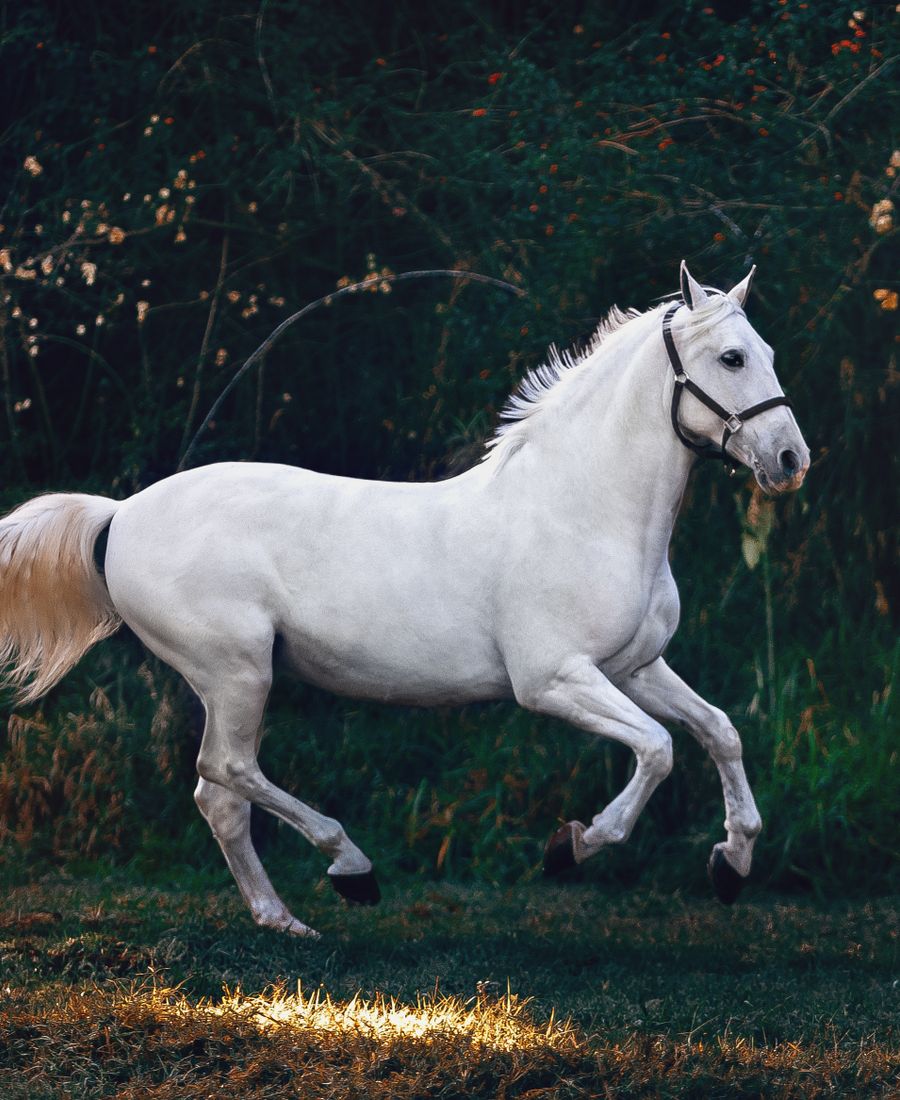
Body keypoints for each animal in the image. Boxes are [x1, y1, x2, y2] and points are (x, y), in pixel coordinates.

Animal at [0, 262, 809, 936]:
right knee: (226, 774)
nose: (790, 460)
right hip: (236, 673)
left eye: (767, 351)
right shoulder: (554, 680)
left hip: (234, 680)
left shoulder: (634, 668)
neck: (581, 509)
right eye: (732, 358)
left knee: (219, 796)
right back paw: (350, 868)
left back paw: (284, 920)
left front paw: (732, 864)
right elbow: (659, 749)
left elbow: (719, 732)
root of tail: (120, 514)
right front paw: (571, 847)